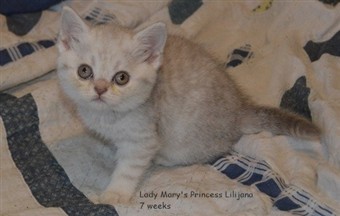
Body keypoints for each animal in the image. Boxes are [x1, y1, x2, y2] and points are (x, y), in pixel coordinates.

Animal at [57, 6, 320, 205]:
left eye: (121, 78)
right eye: (84, 71)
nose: (100, 89)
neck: (108, 116)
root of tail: (239, 108)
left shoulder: (143, 139)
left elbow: (129, 168)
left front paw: (115, 194)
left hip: (186, 141)